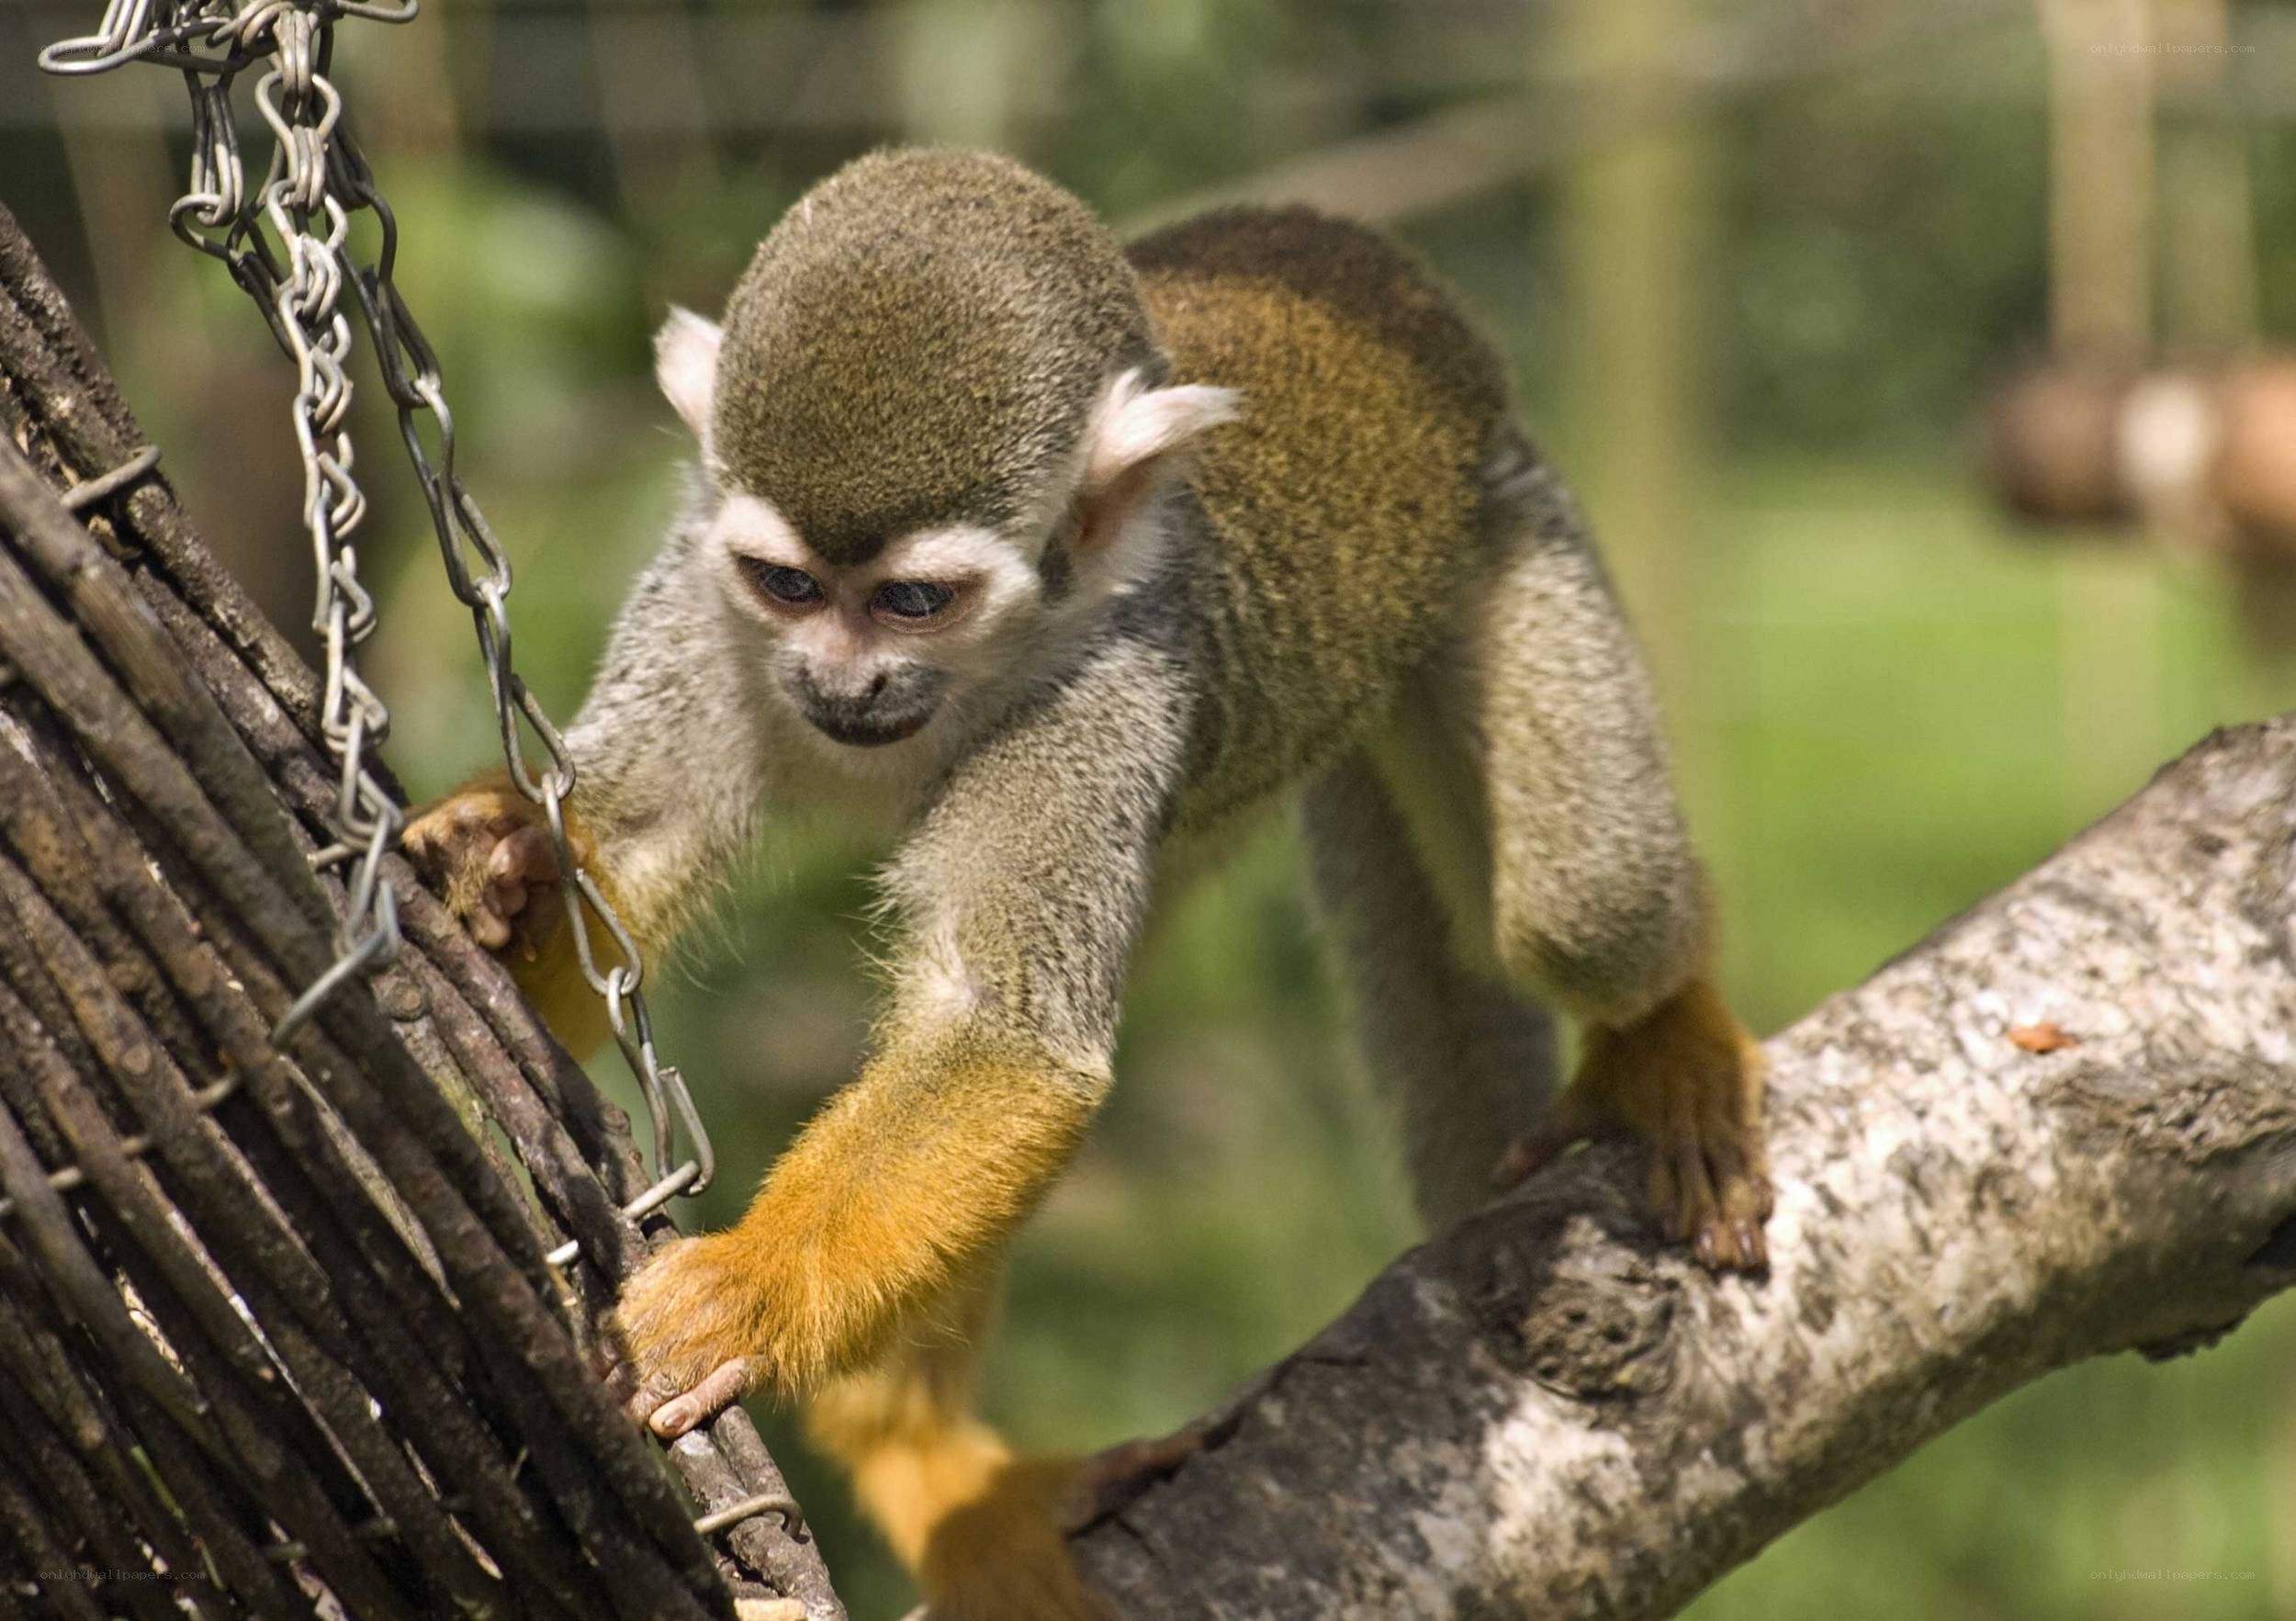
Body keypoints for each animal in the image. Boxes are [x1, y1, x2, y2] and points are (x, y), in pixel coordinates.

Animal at [404, 147, 1770, 1620]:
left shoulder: (1107, 688)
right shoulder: (705, 597)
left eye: (914, 602)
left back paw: (1668, 1032)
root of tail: (1350, 259)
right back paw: (921, 1453)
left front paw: (744, 1298)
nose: (837, 684)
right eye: (787, 584)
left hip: (1507, 531)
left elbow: (1004, 1037)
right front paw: (493, 873)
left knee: (1582, 909)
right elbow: (634, 843)